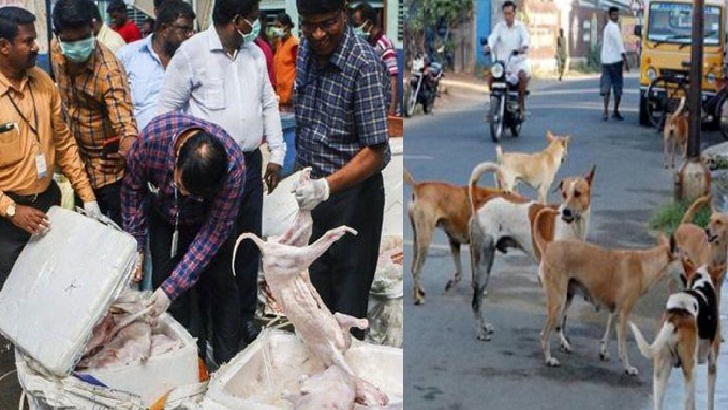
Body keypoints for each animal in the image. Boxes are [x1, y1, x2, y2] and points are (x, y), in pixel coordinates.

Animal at [404, 168, 524, 306]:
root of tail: (417, 187)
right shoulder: (474, 248)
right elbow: (474, 274)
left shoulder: (454, 242)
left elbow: (460, 273)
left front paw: (451, 284)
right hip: (425, 240)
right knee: (416, 270)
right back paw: (417, 298)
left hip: (417, 240)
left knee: (413, 267)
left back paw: (420, 290)